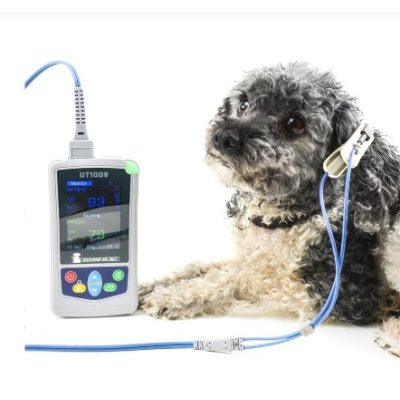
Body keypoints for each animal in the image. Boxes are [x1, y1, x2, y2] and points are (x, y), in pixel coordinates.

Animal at [139, 62, 400, 356]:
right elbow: (204, 266)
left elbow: (242, 279)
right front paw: (149, 286)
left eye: (295, 123)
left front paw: (174, 296)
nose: (224, 136)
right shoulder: (251, 256)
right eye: (243, 103)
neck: (284, 220)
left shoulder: (339, 292)